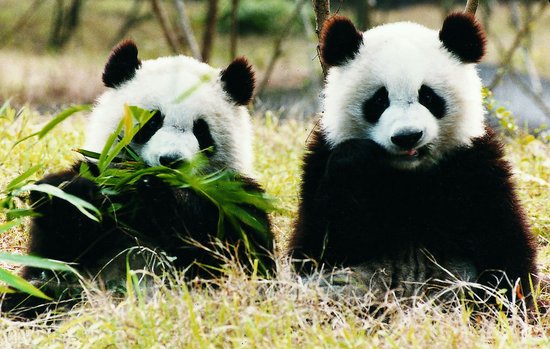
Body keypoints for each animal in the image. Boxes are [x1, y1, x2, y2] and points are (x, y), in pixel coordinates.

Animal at [2, 40, 274, 316]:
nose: (171, 160)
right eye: (152, 122)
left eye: (200, 130)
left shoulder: (236, 195)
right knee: (35, 294)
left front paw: (156, 192)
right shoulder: (97, 170)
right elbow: (55, 246)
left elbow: (240, 252)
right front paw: (75, 193)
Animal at [292, 12, 540, 304]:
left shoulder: (475, 164)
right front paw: (358, 159)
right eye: (379, 100)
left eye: (429, 96)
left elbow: (503, 242)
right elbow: (316, 247)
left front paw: (509, 302)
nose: (407, 136)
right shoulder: (321, 158)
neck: (409, 174)